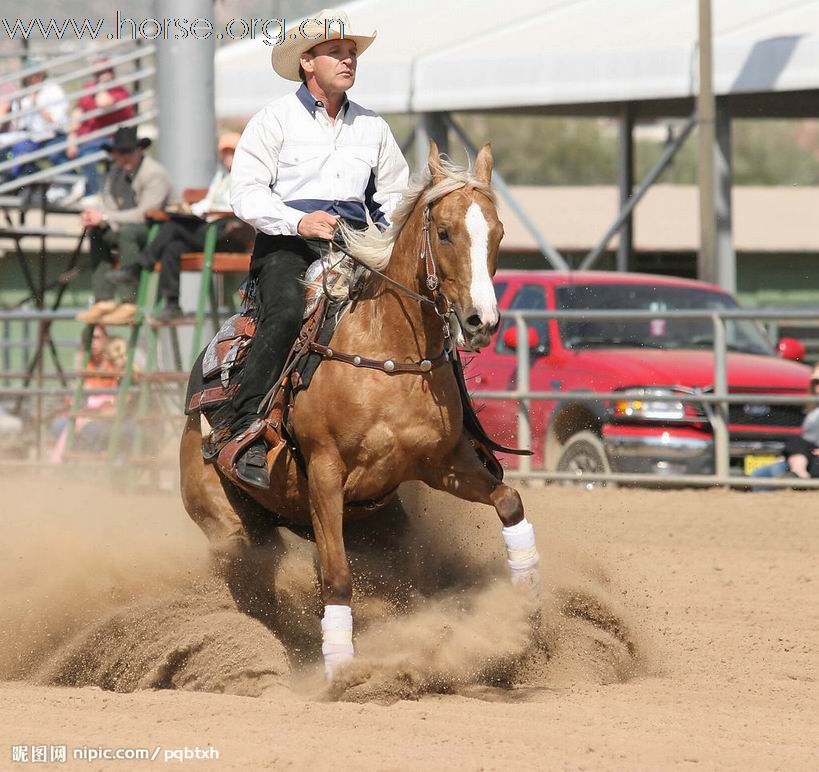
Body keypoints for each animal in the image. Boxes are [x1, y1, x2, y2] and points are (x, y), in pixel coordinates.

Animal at [184, 142, 544, 680]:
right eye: (444, 232)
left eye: (497, 233)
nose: (482, 322)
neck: (385, 354)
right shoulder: (325, 472)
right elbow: (336, 578)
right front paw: (340, 669)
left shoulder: (443, 463)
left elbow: (509, 501)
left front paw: (526, 606)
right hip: (230, 529)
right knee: (259, 595)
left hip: (378, 523)